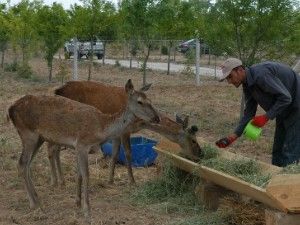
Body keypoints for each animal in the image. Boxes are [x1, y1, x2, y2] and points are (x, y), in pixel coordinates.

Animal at [7, 79, 159, 218]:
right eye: (140, 101)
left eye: (150, 100)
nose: (157, 118)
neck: (101, 129)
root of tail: (10, 109)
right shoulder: (82, 144)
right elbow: (86, 174)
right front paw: (87, 209)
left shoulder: (77, 147)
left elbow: (79, 173)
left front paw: (78, 203)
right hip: (28, 134)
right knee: (22, 163)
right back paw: (34, 203)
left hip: (39, 138)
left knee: (27, 164)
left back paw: (37, 198)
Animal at [51, 80, 203, 185]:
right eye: (194, 140)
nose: (200, 154)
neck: (140, 122)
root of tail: (57, 91)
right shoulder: (125, 131)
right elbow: (128, 153)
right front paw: (132, 180)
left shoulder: (117, 133)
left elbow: (115, 153)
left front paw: (110, 179)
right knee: (54, 147)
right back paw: (60, 180)